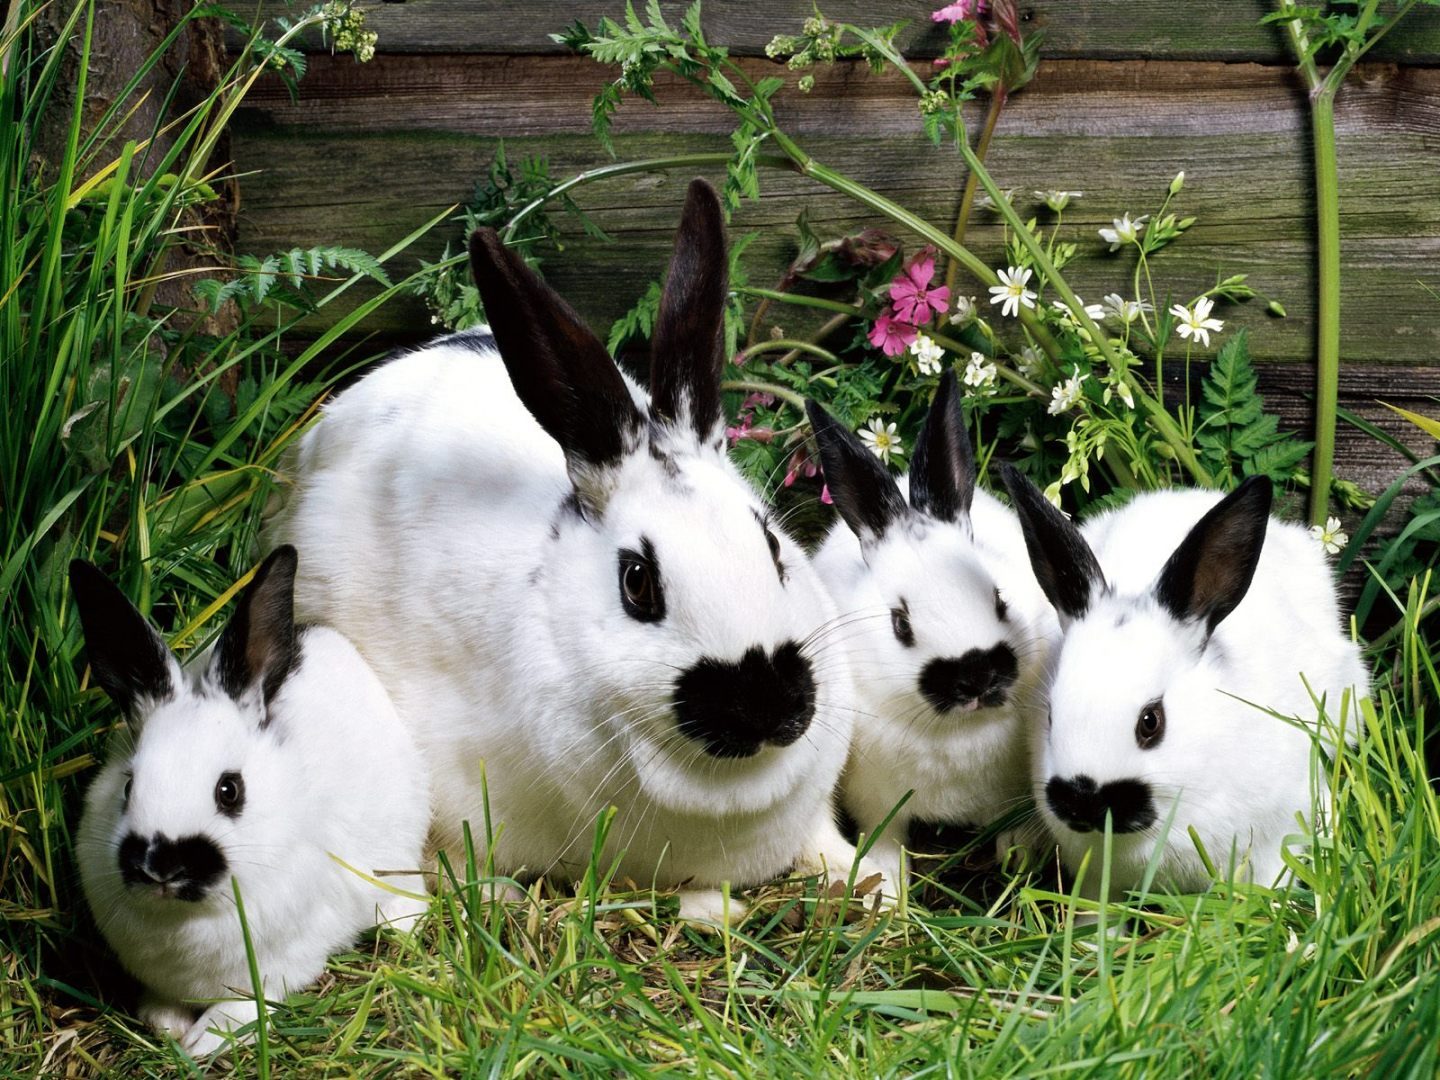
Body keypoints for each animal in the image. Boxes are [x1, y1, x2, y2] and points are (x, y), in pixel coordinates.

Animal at [70, 550, 426, 1059]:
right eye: (128, 787)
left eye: (229, 791)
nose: (162, 866)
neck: (188, 918)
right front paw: (166, 1023)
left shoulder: (283, 961)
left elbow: (247, 1004)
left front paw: (203, 1042)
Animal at [812, 368, 1059, 892]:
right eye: (899, 623)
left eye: (999, 598)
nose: (977, 676)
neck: (957, 732)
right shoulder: (877, 799)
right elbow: (885, 837)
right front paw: (887, 888)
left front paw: (1018, 857)